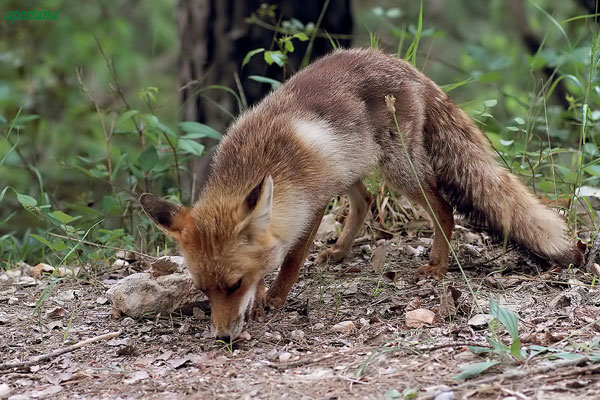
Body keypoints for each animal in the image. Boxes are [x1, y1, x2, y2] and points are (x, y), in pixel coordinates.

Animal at [139, 47, 580, 340]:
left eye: (232, 285)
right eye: (204, 290)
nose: (224, 337)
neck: (262, 161)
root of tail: (399, 62)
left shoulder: (312, 203)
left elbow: (292, 259)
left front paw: (275, 298)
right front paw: (262, 296)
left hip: (399, 169)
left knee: (443, 207)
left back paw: (438, 264)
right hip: (350, 164)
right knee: (366, 200)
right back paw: (340, 251)